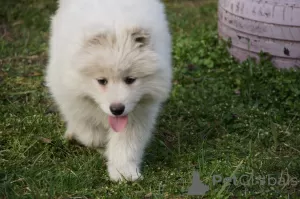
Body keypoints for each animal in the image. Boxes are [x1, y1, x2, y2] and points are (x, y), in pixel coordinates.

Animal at [44, 0, 171, 182]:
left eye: (130, 79)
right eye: (102, 81)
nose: (117, 109)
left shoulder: (137, 111)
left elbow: (126, 143)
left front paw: (124, 172)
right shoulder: (69, 94)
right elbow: (85, 126)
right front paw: (96, 139)